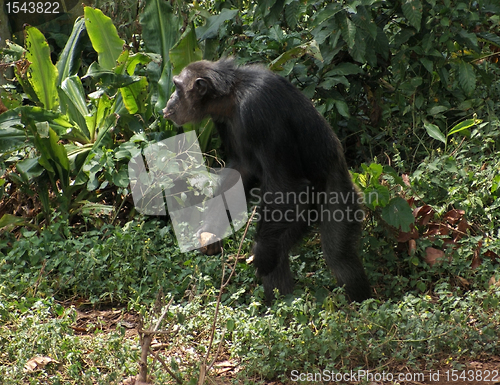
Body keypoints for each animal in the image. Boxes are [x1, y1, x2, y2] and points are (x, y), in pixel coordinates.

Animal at [162, 57, 370, 304]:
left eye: (177, 87)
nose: (169, 99)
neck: (231, 96)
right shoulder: (221, 121)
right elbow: (240, 169)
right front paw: (210, 232)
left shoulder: (259, 110)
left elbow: (284, 183)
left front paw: (259, 255)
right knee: (280, 251)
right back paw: (283, 305)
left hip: (337, 191)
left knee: (339, 257)